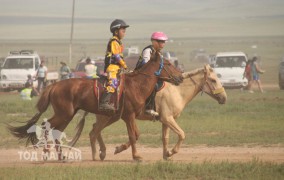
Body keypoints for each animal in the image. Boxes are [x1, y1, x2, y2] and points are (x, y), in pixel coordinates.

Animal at [8, 51, 183, 160]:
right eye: (168, 63)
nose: (180, 77)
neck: (136, 85)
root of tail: (54, 85)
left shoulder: (128, 117)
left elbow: (134, 135)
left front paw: (121, 150)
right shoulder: (129, 116)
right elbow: (133, 136)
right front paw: (135, 156)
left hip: (67, 115)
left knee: (58, 130)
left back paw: (61, 156)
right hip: (64, 114)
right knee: (47, 126)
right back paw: (46, 154)